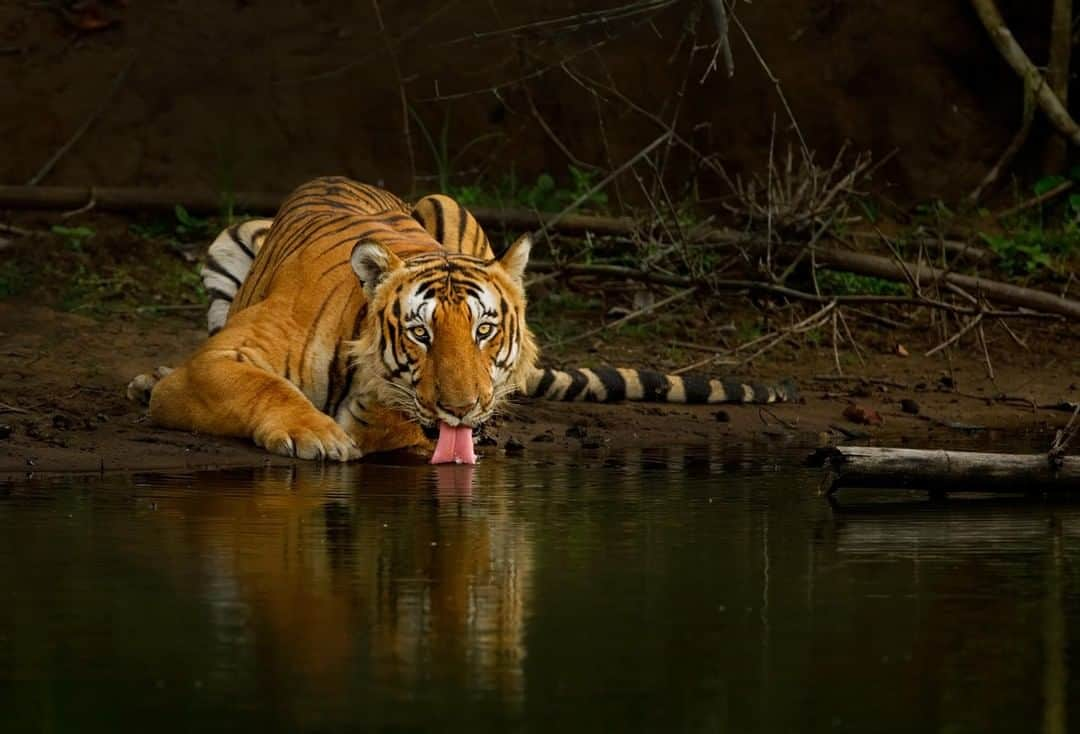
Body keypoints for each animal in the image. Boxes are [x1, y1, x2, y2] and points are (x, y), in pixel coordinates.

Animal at [126, 175, 799, 464]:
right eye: (420, 333)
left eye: (484, 331)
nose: (461, 409)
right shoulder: (217, 360)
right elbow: (262, 387)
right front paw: (317, 434)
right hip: (229, 240)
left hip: (446, 205)